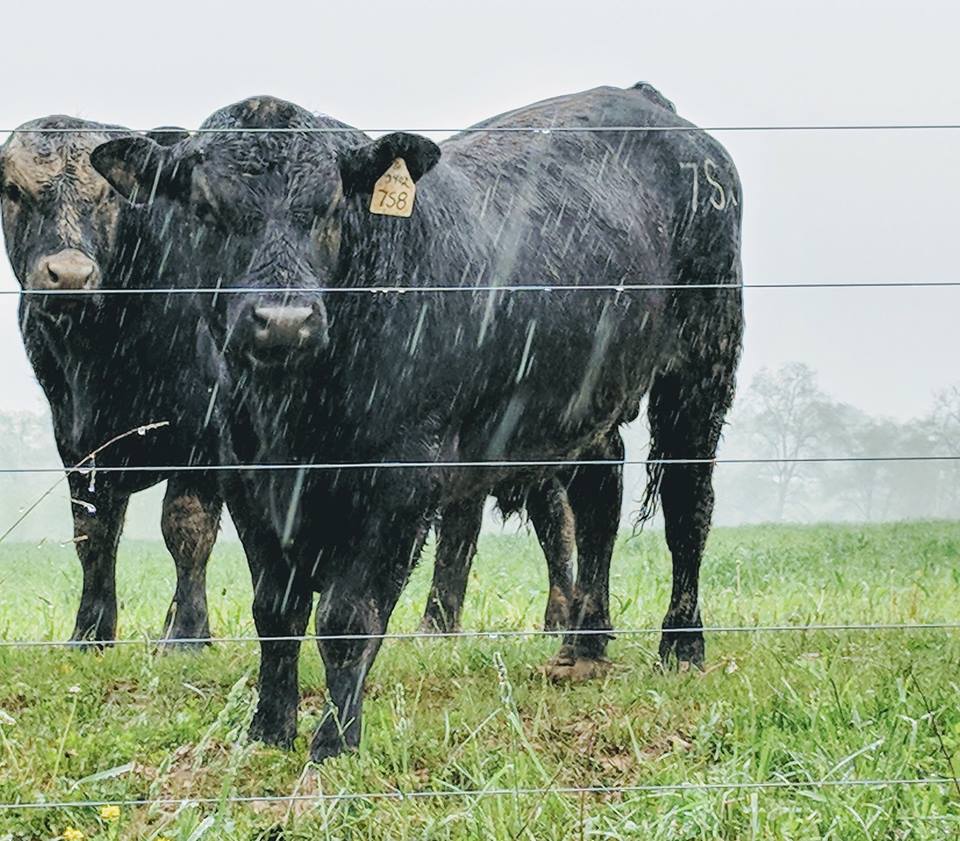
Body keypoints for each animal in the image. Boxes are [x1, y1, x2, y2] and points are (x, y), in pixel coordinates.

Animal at [0, 118, 223, 644]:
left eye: (108, 195)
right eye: (13, 190)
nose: (69, 275)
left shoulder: (204, 427)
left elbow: (186, 526)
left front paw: (186, 636)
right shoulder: (77, 439)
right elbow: (93, 533)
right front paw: (90, 633)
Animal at [94, 82, 744, 756]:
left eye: (330, 206)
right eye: (206, 208)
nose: (284, 322)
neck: (295, 414)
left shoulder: (399, 484)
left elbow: (347, 619)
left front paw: (335, 744)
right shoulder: (248, 482)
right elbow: (275, 612)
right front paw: (268, 731)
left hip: (703, 363)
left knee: (688, 504)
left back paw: (682, 646)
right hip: (588, 400)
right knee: (599, 498)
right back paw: (583, 650)